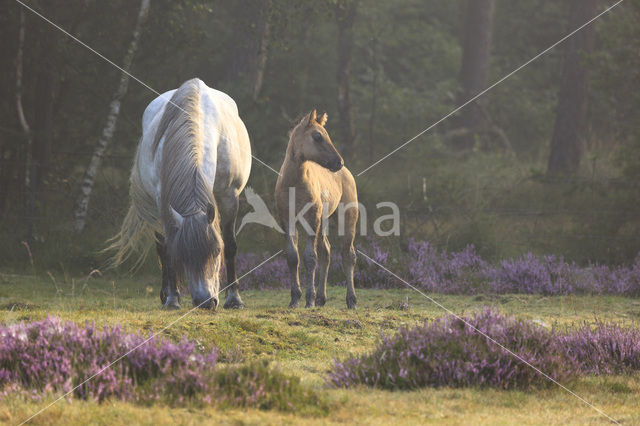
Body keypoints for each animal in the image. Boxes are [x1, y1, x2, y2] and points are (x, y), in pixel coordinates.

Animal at [109, 78, 251, 310]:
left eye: (216, 252)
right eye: (184, 256)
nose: (206, 302)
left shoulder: (230, 196)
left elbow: (230, 244)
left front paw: (234, 299)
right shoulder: (162, 202)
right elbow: (168, 249)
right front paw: (172, 299)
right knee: (160, 246)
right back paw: (165, 294)